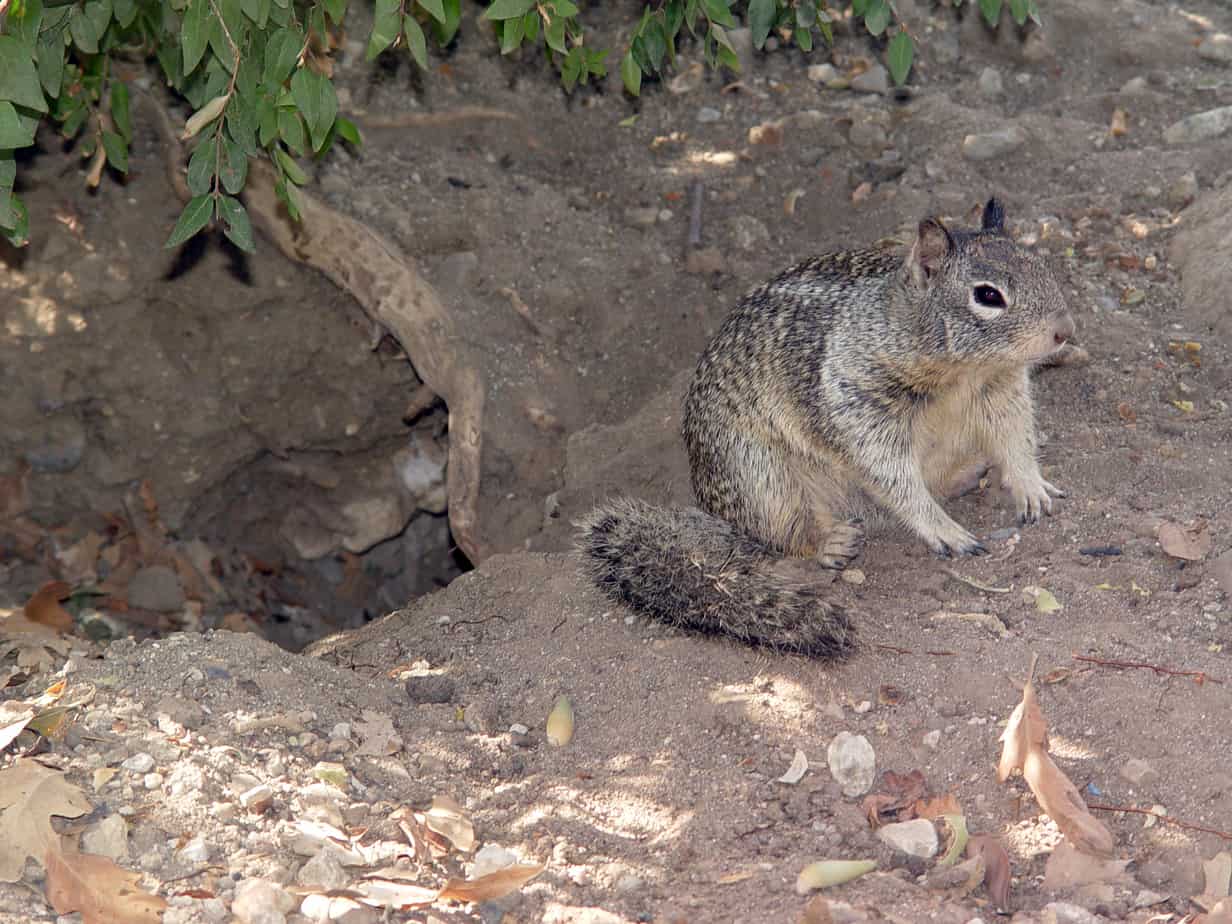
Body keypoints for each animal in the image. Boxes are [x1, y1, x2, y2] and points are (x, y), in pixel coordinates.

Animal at [576, 199, 1069, 655]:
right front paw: (943, 528)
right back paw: (832, 541)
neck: (963, 373)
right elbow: (893, 477)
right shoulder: (859, 405)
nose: (1064, 331)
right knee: (784, 536)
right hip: (762, 481)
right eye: (988, 296)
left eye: (1042, 267)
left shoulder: (1002, 393)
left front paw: (1031, 486)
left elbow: (1016, 440)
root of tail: (710, 504)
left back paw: (968, 474)